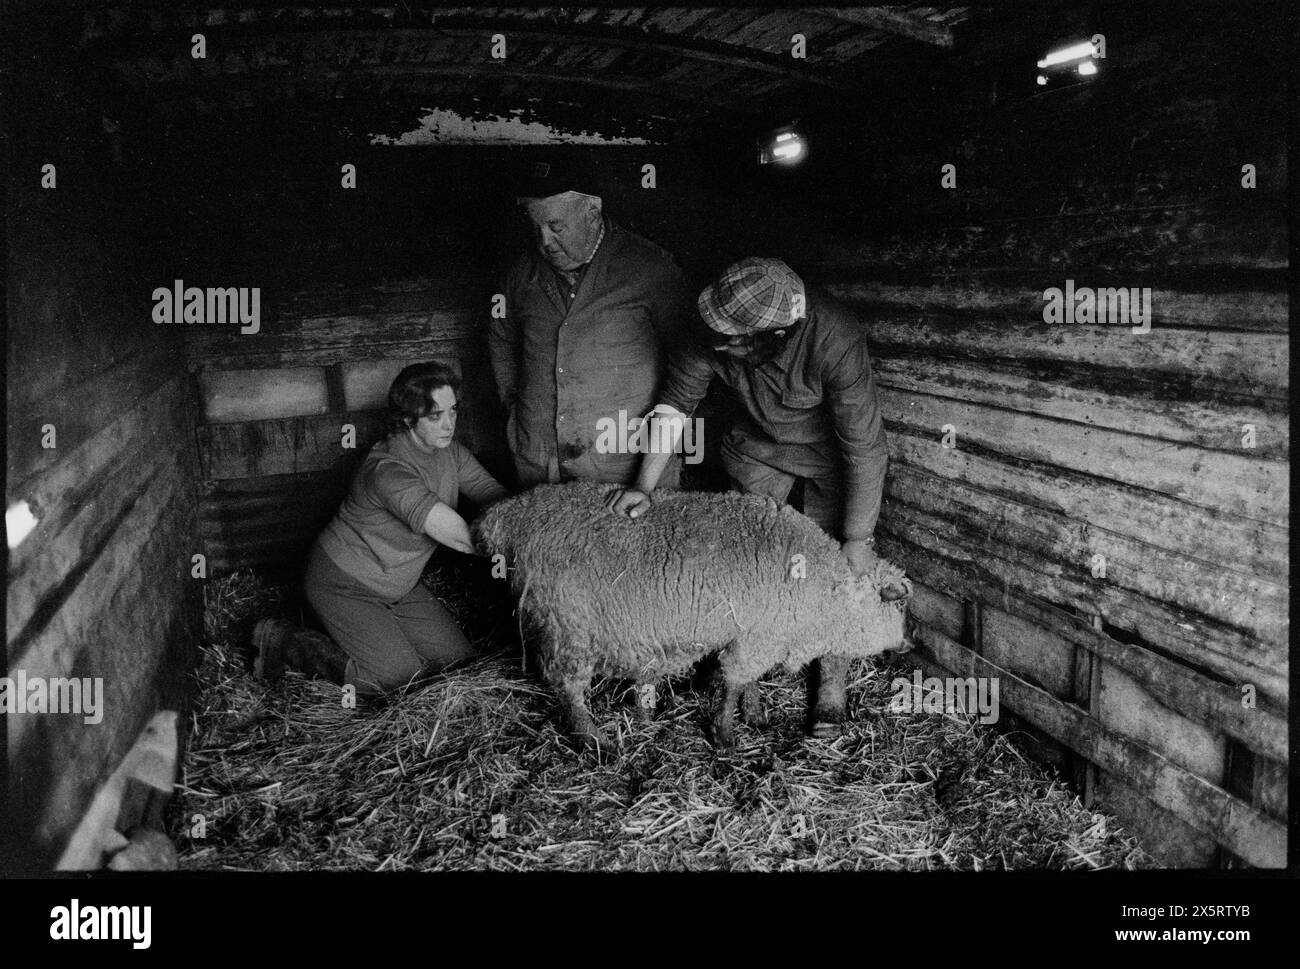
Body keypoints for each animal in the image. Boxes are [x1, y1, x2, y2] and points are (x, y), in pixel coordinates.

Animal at [473, 482, 912, 751]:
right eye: (898, 605)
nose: (907, 645)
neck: (822, 585)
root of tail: (504, 517)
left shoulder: (752, 632)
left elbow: (748, 679)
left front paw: (754, 714)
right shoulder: (757, 636)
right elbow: (734, 681)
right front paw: (725, 735)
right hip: (567, 625)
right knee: (567, 687)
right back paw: (595, 740)